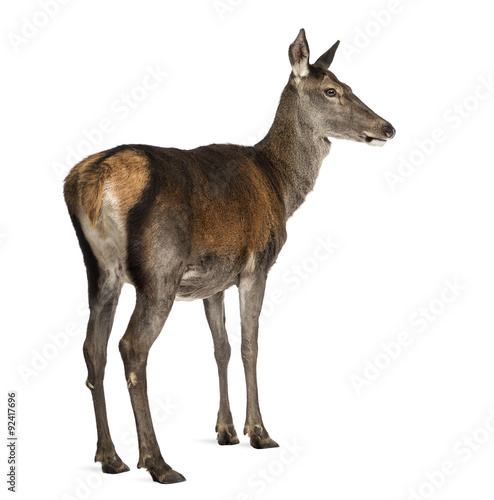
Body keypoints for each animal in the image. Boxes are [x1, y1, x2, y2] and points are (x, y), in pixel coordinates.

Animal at [62, 29, 394, 482]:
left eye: (349, 85)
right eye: (332, 91)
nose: (388, 127)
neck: (280, 187)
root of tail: (91, 182)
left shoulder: (214, 281)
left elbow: (221, 347)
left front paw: (226, 430)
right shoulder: (256, 265)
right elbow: (250, 343)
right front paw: (259, 432)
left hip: (99, 269)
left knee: (92, 349)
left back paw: (111, 458)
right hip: (159, 270)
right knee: (131, 347)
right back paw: (157, 462)